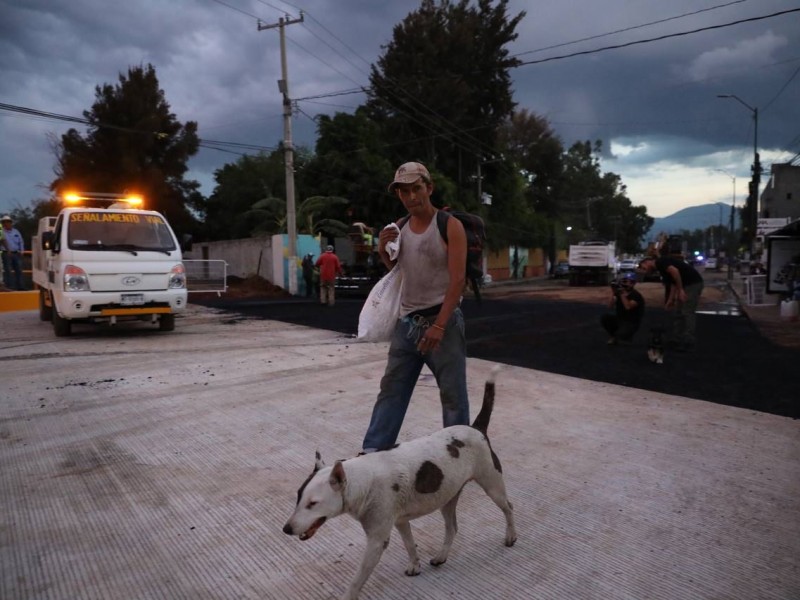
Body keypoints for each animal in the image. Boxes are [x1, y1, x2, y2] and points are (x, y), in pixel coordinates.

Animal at [284, 368, 516, 596]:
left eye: (312, 503)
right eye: (298, 498)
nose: (286, 529)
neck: (362, 480)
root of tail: (476, 428)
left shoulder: (377, 541)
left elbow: (357, 579)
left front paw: (349, 595)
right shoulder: (401, 521)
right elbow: (409, 544)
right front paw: (415, 565)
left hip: (492, 484)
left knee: (508, 507)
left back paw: (511, 536)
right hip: (448, 495)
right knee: (452, 527)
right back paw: (441, 556)